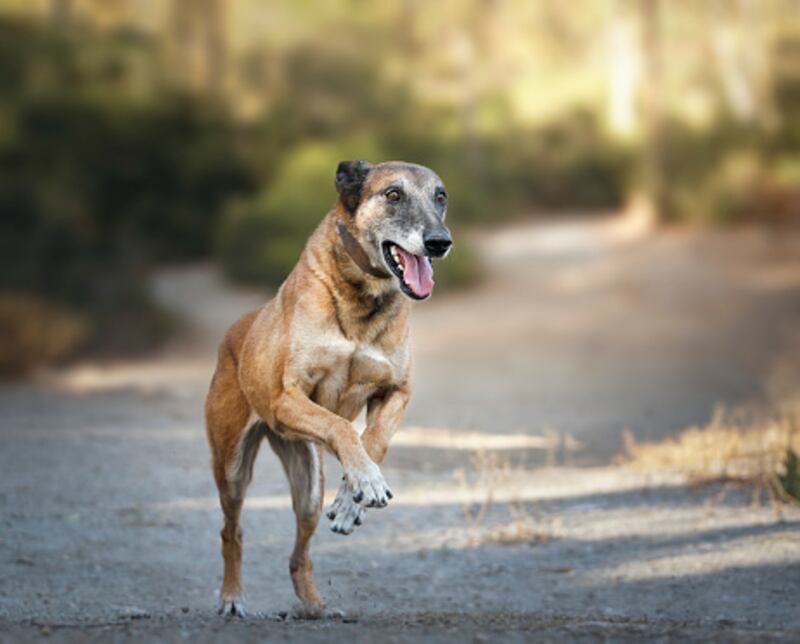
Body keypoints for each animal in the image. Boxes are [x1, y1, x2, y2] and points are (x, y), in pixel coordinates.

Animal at [203, 160, 454, 612]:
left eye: (440, 196)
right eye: (393, 194)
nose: (439, 242)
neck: (363, 297)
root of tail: (235, 330)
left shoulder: (397, 392)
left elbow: (374, 441)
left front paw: (354, 499)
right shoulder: (288, 399)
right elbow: (339, 427)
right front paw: (366, 480)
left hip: (307, 489)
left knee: (299, 553)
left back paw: (314, 605)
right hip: (231, 468)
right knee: (231, 531)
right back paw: (231, 597)